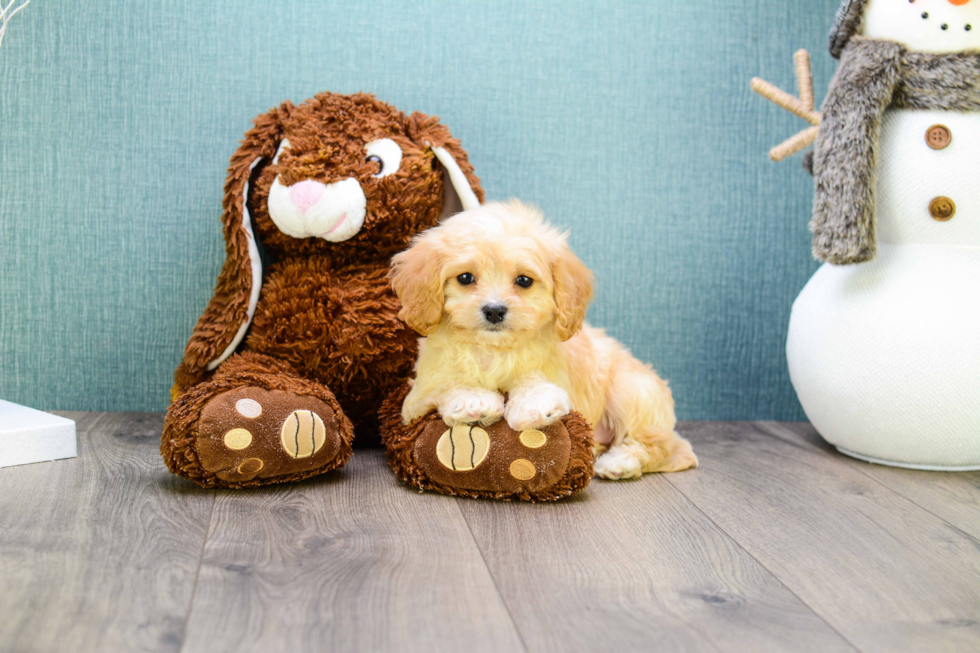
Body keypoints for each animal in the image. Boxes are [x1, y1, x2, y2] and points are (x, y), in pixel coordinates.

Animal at [388, 200, 696, 478]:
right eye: (465, 278)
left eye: (524, 281)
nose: (494, 310)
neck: (494, 349)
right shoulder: (416, 398)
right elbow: (447, 383)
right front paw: (473, 400)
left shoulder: (553, 369)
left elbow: (533, 377)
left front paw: (534, 404)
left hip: (632, 391)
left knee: (658, 447)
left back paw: (619, 462)